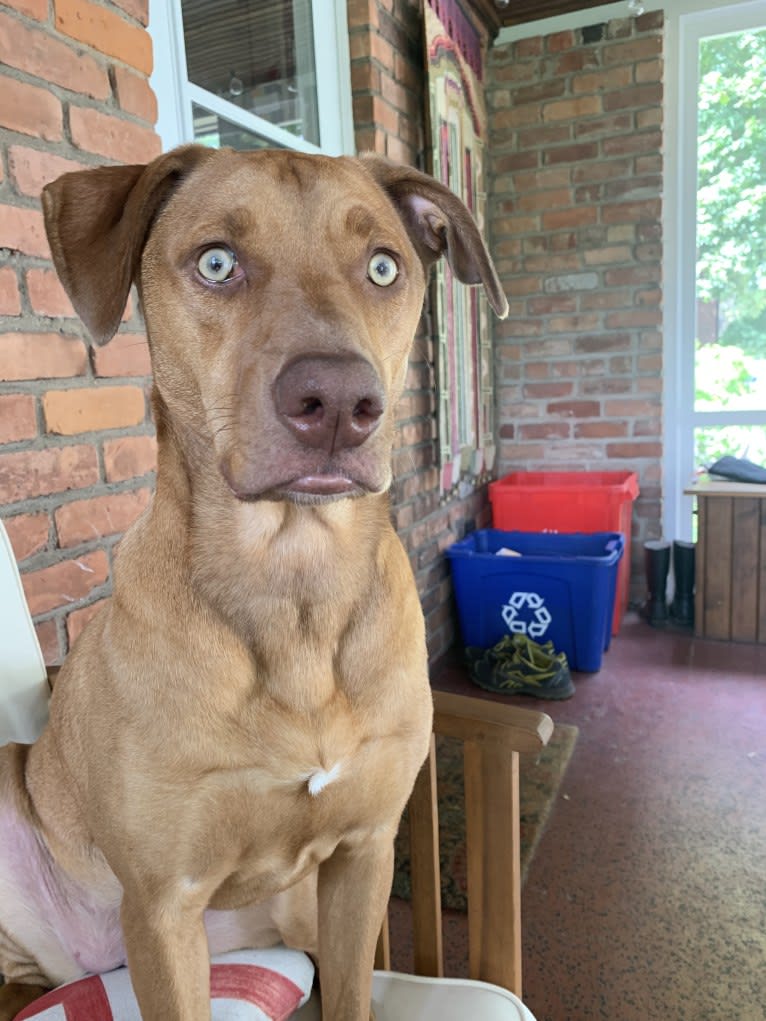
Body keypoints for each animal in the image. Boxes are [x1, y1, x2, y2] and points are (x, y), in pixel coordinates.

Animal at [0, 146, 510, 1021]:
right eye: (216, 261)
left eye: (384, 267)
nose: (339, 403)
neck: (294, 584)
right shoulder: (164, 904)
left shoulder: (363, 857)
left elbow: (352, 995)